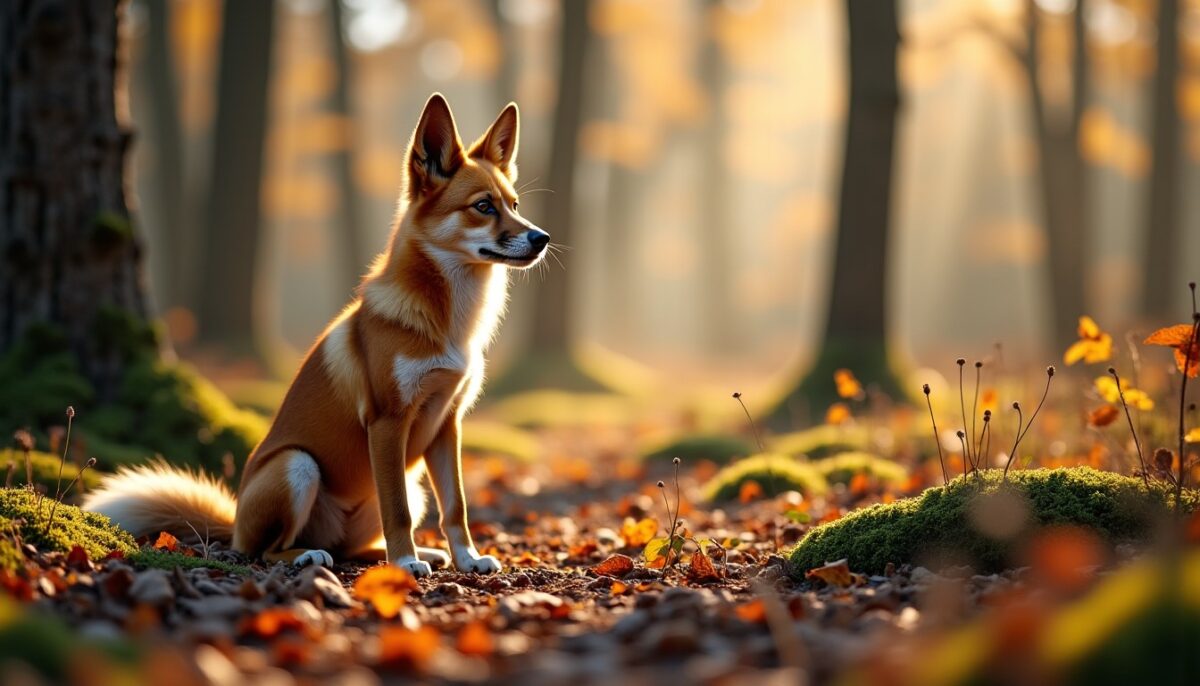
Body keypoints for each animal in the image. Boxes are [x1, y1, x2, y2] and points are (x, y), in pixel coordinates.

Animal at [84, 94, 548, 577]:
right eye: (483, 206)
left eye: (514, 204)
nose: (543, 238)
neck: (446, 323)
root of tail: (234, 522)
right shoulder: (387, 422)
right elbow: (397, 510)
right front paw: (405, 562)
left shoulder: (447, 424)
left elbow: (455, 506)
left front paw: (467, 558)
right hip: (297, 466)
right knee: (268, 550)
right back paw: (316, 555)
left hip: (407, 483)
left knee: (352, 548)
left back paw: (417, 554)